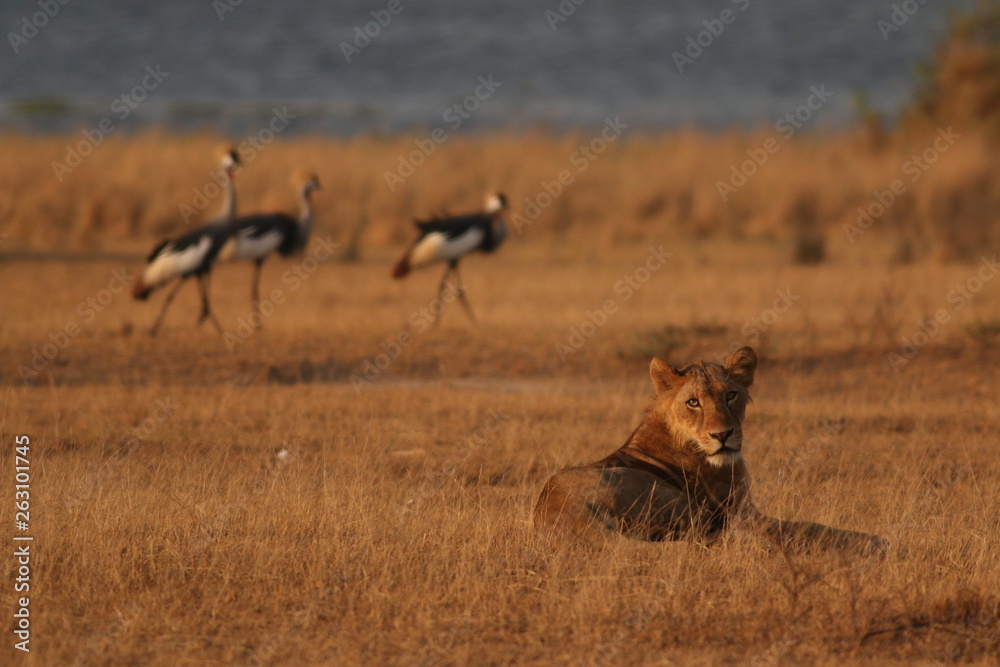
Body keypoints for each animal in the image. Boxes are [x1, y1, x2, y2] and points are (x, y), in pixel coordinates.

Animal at [533, 347, 886, 555]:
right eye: (694, 402)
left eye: (730, 394)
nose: (723, 435)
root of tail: (560, 517)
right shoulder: (739, 511)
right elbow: (805, 526)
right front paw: (875, 541)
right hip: (682, 504)